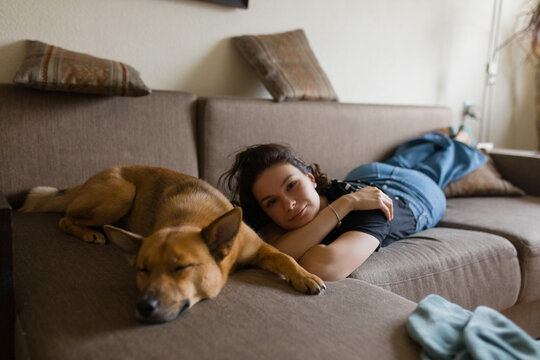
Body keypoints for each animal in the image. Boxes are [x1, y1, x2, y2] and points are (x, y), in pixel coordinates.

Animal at [20, 166, 324, 324]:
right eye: (143, 270)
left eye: (183, 267)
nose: (144, 306)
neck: (190, 219)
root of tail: (86, 181)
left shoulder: (261, 249)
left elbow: (286, 257)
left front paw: (304, 276)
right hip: (121, 193)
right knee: (64, 219)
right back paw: (87, 233)